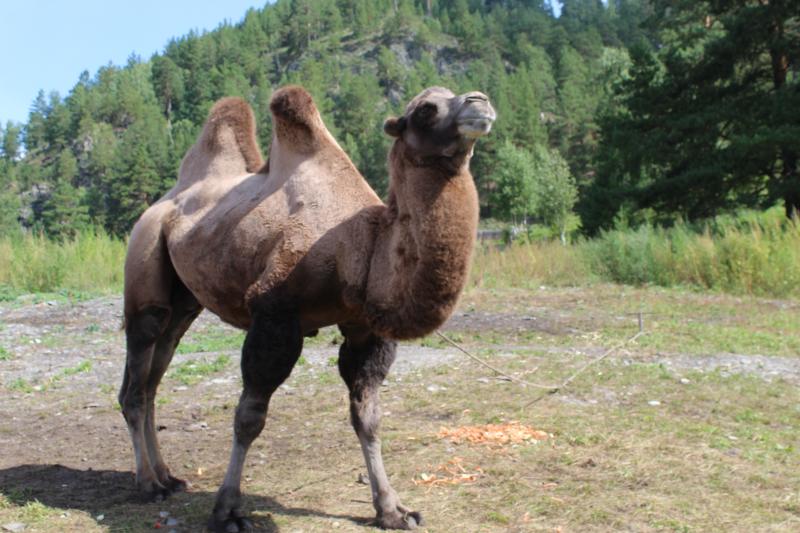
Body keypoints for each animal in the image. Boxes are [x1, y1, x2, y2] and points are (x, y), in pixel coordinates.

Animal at [118, 85, 495, 531]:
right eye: (425, 109)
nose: (480, 102)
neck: (360, 246)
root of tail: (161, 205)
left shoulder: (365, 329)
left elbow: (367, 417)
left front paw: (393, 509)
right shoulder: (274, 313)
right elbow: (249, 417)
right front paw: (227, 511)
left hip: (185, 302)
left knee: (154, 377)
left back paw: (167, 476)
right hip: (144, 264)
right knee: (137, 378)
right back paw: (148, 484)